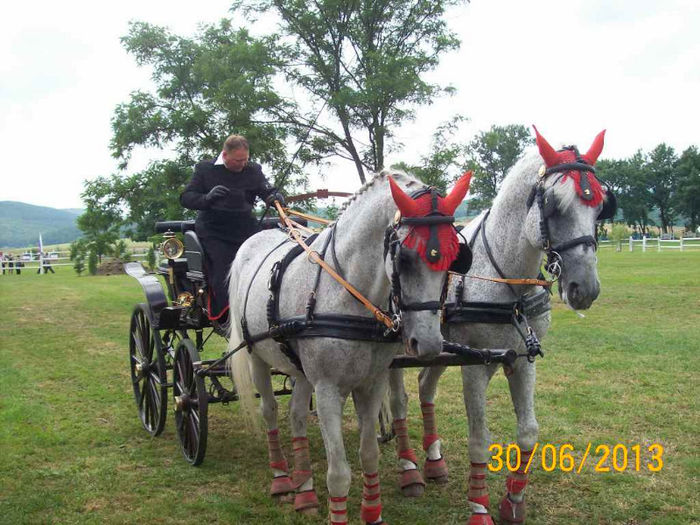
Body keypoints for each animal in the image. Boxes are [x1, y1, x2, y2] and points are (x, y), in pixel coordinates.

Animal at [228, 170, 470, 520]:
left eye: (455, 258)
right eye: (405, 258)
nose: (427, 343)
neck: (347, 293)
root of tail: (253, 240)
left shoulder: (371, 383)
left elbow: (368, 454)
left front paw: (373, 513)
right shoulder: (328, 389)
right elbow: (339, 473)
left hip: (300, 371)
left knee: (296, 415)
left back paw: (304, 487)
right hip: (256, 356)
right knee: (270, 411)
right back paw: (282, 477)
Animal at [386, 128, 616, 524]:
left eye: (601, 206)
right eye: (552, 204)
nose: (584, 288)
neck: (505, 280)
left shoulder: (522, 359)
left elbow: (528, 432)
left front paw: (513, 500)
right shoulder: (474, 365)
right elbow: (480, 438)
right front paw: (479, 507)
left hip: (438, 349)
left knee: (425, 387)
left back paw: (434, 461)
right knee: (399, 400)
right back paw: (410, 468)